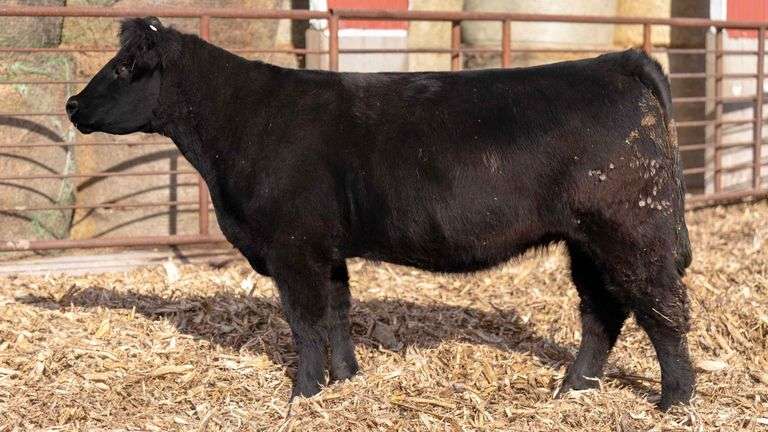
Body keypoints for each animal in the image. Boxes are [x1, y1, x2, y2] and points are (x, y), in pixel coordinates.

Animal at [66, 17, 695, 409]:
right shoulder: (325, 249)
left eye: (121, 69)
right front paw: (346, 382)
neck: (239, 124)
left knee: (662, 310)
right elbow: (338, 313)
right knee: (602, 313)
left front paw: (303, 394)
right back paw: (574, 390)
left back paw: (675, 401)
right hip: (585, 240)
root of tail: (619, 61)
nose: (71, 103)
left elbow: (305, 322)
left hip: (631, 232)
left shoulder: (292, 247)